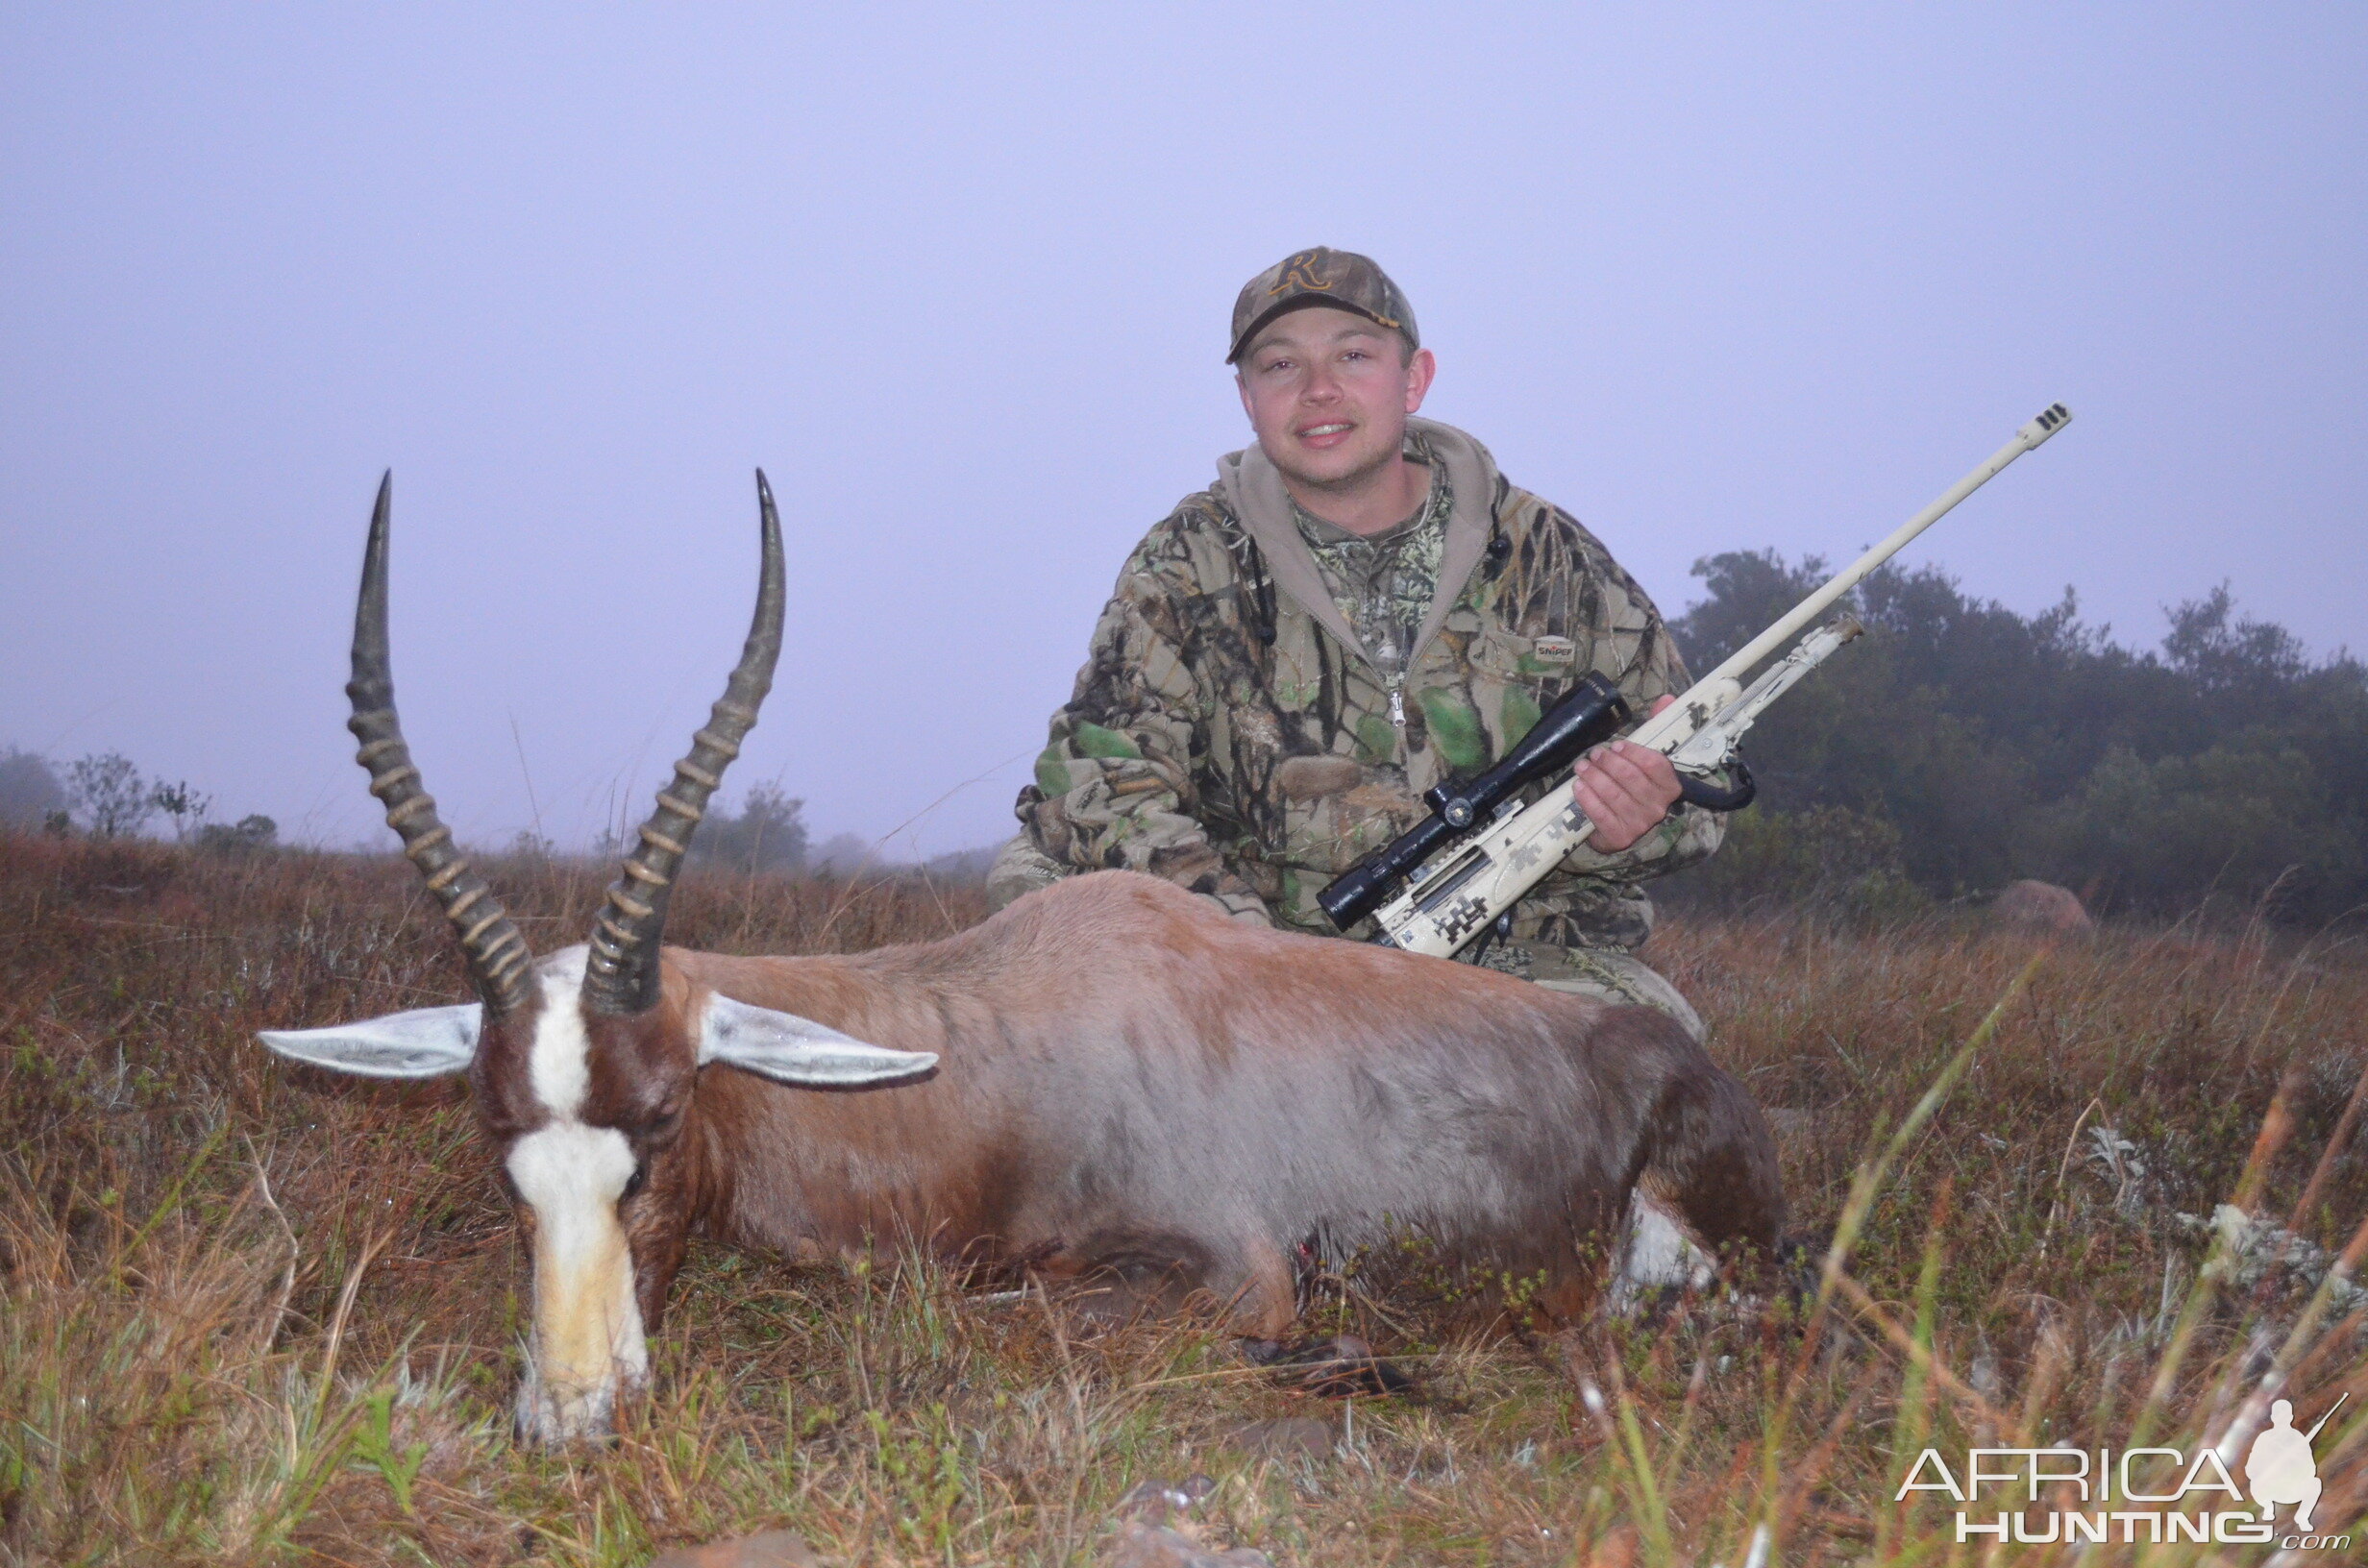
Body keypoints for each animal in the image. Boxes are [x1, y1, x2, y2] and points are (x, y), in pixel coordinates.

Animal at [259, 469, 1780, 1449]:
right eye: (494, 1138)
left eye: (666, 1116)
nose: (571, 1420)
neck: (1006, 1032)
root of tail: (1677, 1061)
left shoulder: (1238, 1272)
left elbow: (1023, 1318)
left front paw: (1360, 1364)